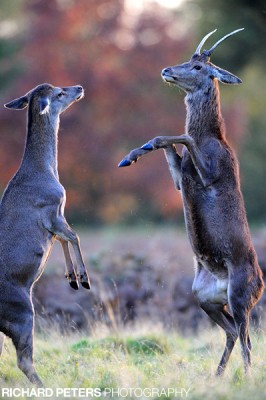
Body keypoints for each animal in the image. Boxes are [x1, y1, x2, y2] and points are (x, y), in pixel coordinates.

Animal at [0, 83, 90, 386]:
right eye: (60, 93)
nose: (79, 87)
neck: (48, 172)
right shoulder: (51, 208)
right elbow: (74, 236)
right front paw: (82, 278)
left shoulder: (56, 217)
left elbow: (65, 238)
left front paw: (71, 277)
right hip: (22, 311)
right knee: (24, 360)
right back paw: (43, 385)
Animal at [119, 28, 264, 376]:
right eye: (189, 60)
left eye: (199, 67)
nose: (167, 70)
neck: (213, 138)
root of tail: (263, 286)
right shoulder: (179, 180)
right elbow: (169, 147)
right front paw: (131, 155)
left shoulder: (214, 172)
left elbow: (181, 137)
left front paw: (139, 150)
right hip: (205, 298)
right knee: (232, 332)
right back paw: (218, 374)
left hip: (241, 295)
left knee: (247, 339)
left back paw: (246, 376)